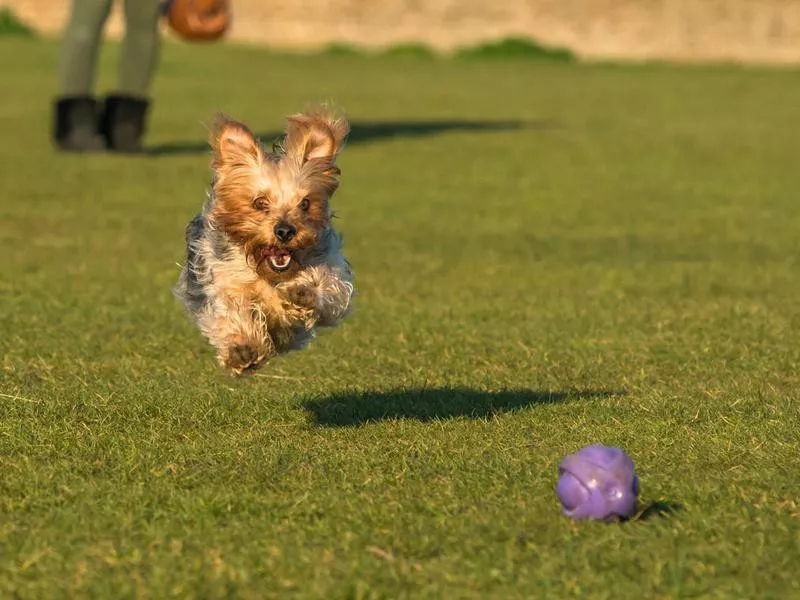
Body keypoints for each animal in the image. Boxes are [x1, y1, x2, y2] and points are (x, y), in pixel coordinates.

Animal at [177, 105, 354, 372]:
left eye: (305, 203)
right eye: (260, 203)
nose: (285, 231)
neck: (268, 273)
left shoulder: (331, 266)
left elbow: (330, 288)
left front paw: (303, 293)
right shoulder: (224, 277)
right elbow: (231, 309)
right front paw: (242, 349)